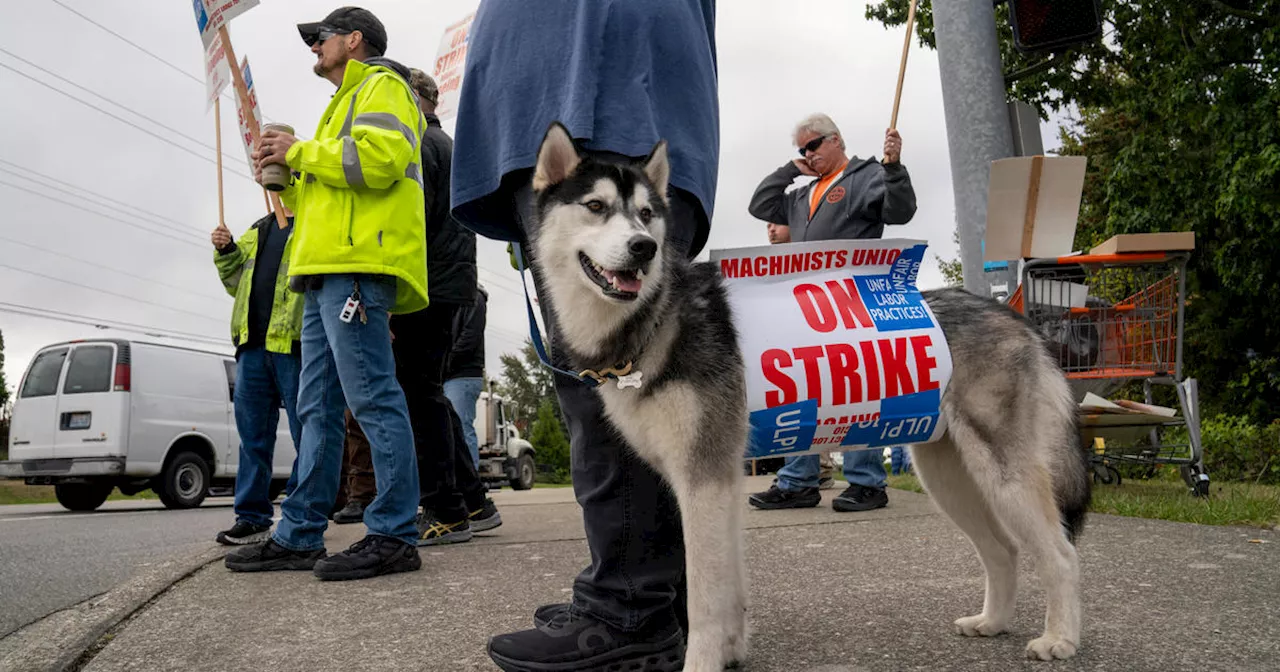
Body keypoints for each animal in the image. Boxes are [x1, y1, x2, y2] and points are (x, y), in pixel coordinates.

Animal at [524, 122, 1095, 665]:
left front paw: (703, 660)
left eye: (646, 214)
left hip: (1003, 475)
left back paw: (1060, 639)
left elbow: (705, 600)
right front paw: (733, 651)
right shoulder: (718, 484)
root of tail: (1013, 316)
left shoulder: (703, 481)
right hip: (948, 476)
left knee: (1063, 555)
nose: (644, 248)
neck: (655, 318)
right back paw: (992, 622)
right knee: (1003, 551)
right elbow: (730, 592)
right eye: (596, 207)